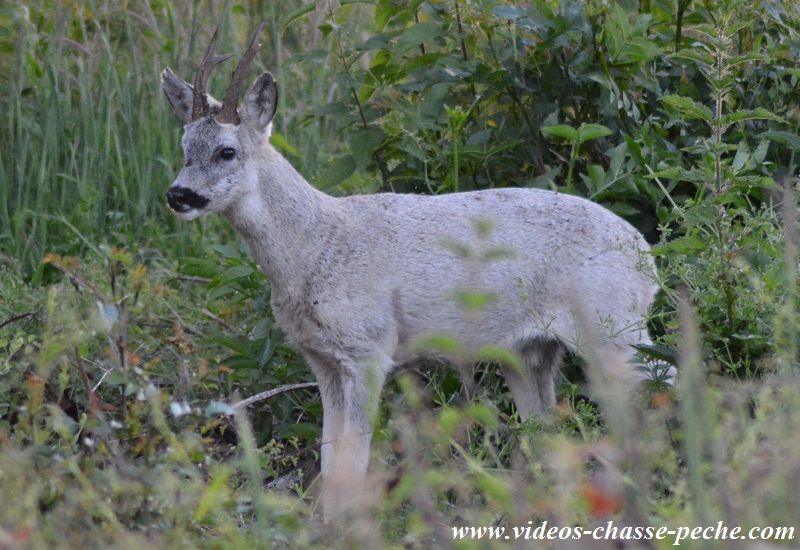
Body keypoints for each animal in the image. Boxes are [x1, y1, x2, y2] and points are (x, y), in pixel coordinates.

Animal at [161, 25, 664, 524]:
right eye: (184, 148)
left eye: (227, 151)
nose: (177, 195)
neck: (317, 248)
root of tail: (646, 254)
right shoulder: (322, 359)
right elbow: (329, 460)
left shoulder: (369, 349)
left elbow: (353, 461)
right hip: (528, 352)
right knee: (547, 429)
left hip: (612, 327)